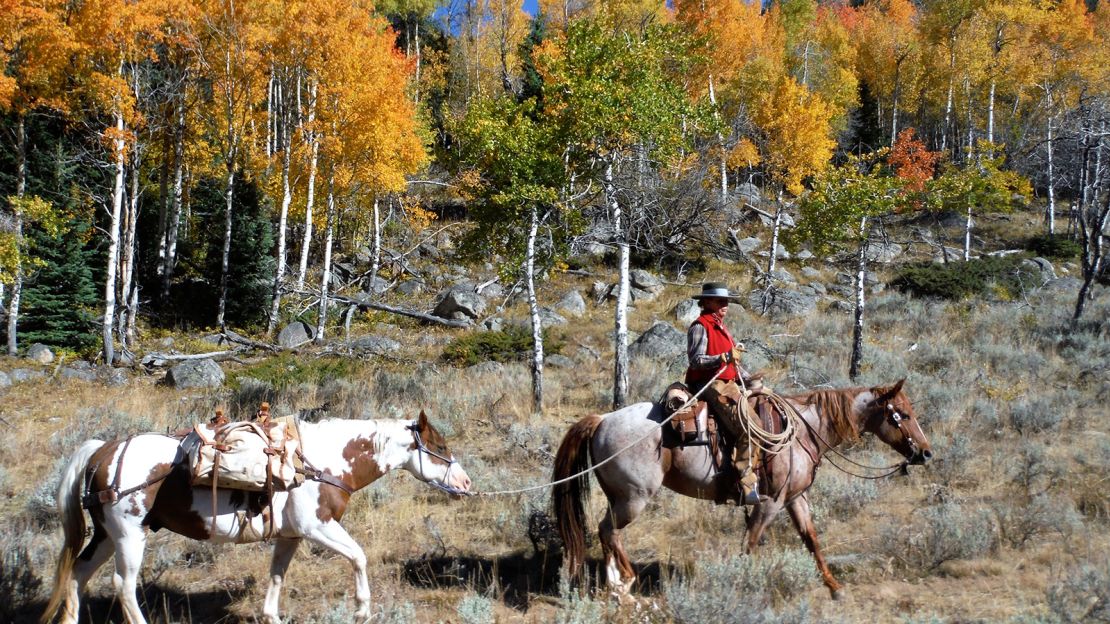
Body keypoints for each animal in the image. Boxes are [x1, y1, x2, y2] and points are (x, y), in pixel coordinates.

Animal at [40, 408, 468, 621]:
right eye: (440, 447)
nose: (465, 483)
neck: (320, 462)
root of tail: (101, 452)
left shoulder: (290, 535)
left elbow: (277, 577)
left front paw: (271, 616)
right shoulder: (318, 527)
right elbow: (358, 557)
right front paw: (362, 609)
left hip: (106, 535)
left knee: (77, 574)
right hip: (130, 534)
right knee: (123, 586)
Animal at [552, 379, 927, 599]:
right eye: (903, 414)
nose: (925, 452)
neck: (805, 431)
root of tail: (603, 419)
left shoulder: (795, 498)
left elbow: (811, 539)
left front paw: (834, 587)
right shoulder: (769, 503)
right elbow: (750, 543)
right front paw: (740, 583)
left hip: (618, 497)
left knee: (606, 533)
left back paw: (616, 584)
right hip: (633, 499)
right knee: (608, 531)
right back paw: (626, 580)